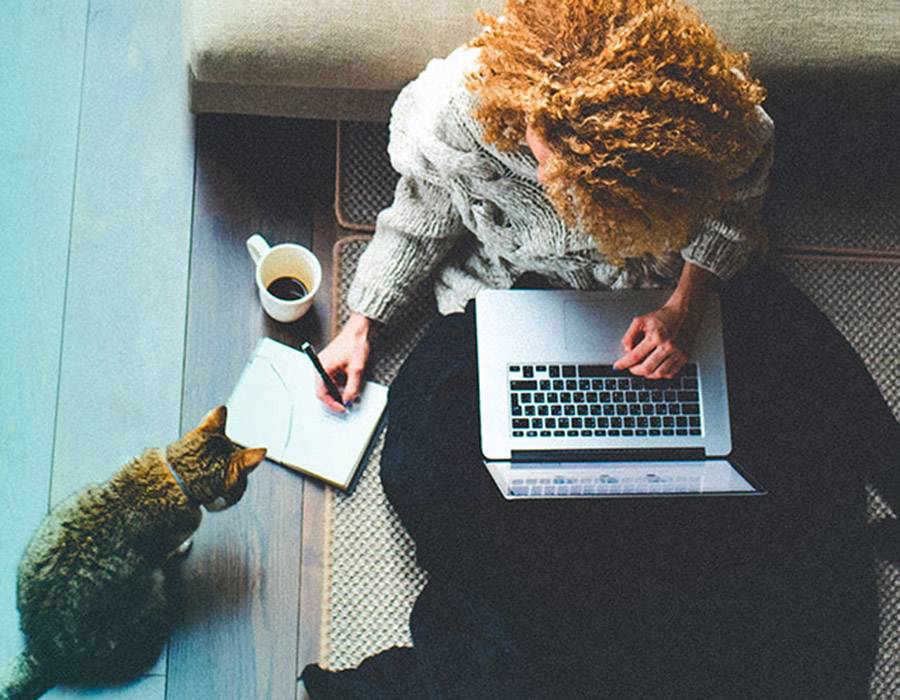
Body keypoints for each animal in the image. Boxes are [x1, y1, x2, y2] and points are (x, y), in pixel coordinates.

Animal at [0, 404, 266, 700]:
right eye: (241, 489)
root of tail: (41, 650)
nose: (242, 495)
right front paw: (184, 547)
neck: (177, 475)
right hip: (149, 597)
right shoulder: (168, 543)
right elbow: (173, 549)